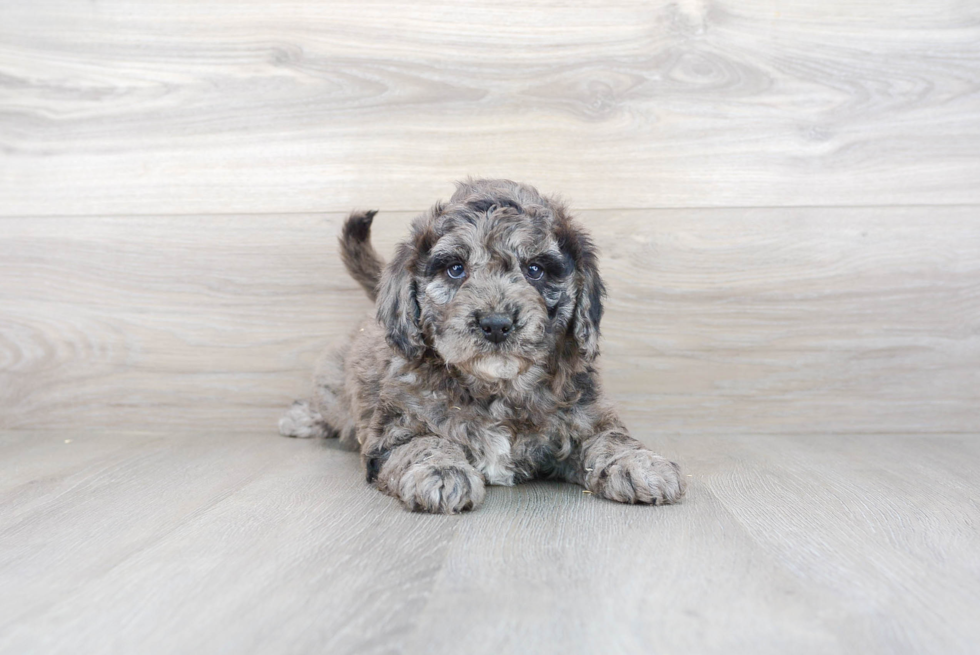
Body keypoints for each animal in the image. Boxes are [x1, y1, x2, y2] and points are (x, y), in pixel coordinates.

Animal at [280, 178, 684, 512]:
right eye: (455, 269)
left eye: (535, 269)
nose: (496, 324)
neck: (498, 390)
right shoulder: (394, 432)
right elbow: (423, 444)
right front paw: (441, 472)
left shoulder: (585, 413)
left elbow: (611, 438)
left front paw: (642, 464)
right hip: (335, 383)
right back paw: (304, 418)